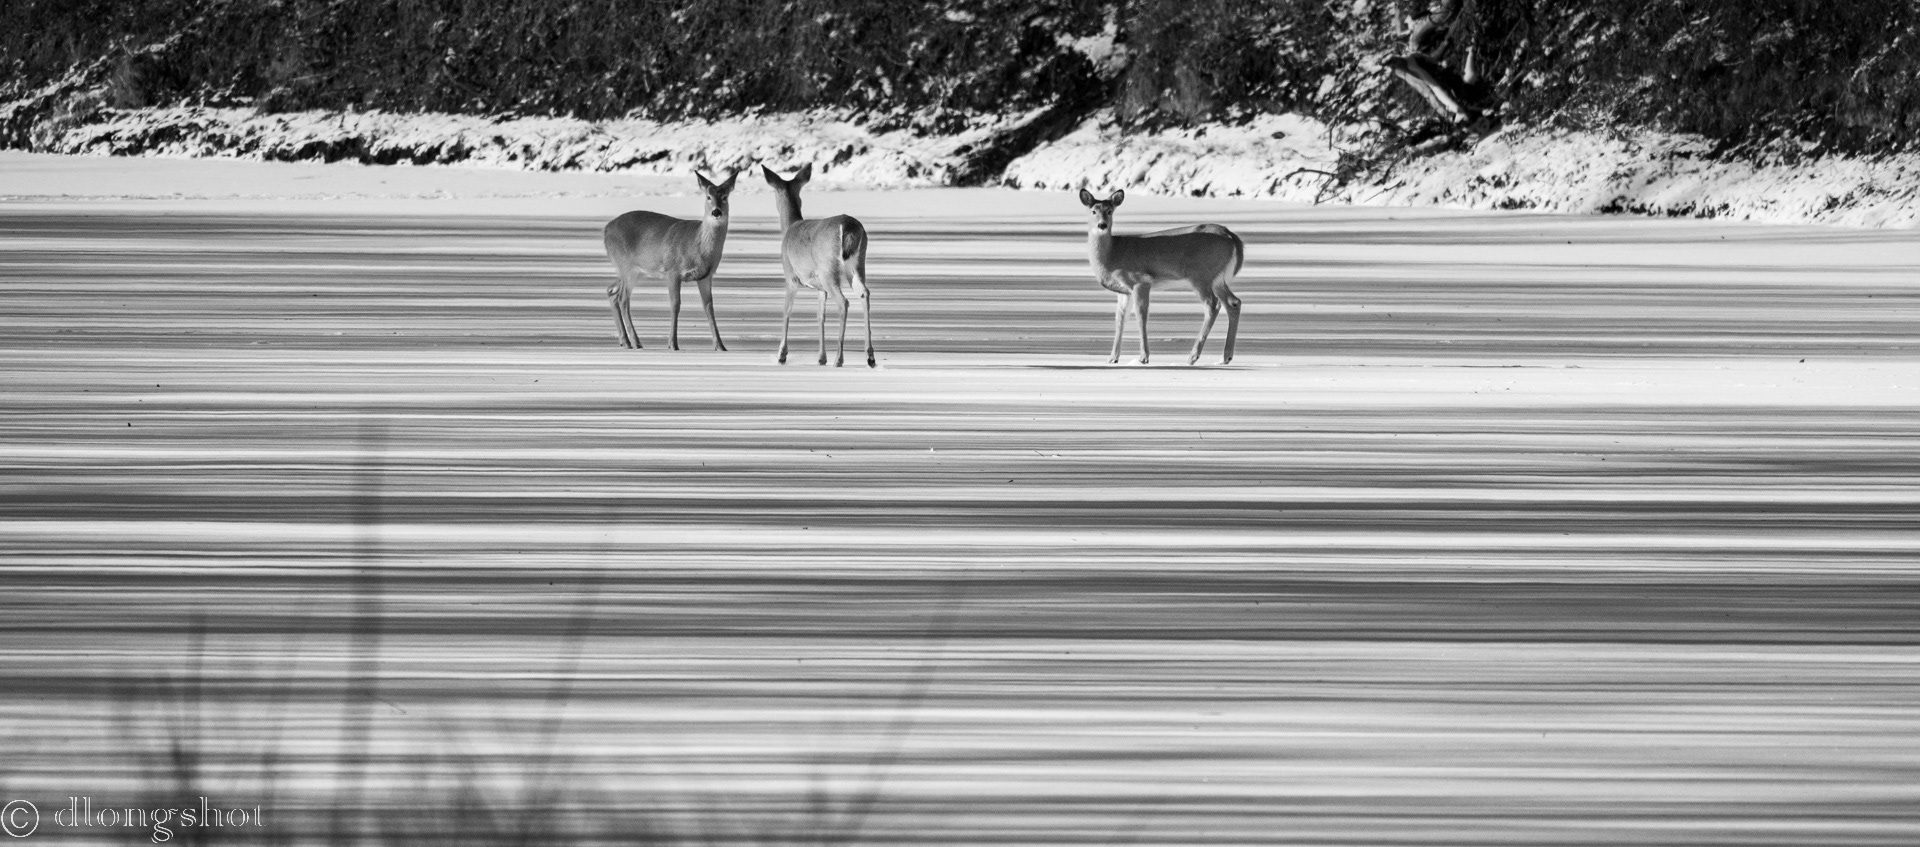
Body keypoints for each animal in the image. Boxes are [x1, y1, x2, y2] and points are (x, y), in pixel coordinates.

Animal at [600, 171, 738, 350]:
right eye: (708, 197)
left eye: (725, 197)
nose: (716, 212)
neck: (698, 247)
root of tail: (606, 229)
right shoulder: (672, 270)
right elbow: (675, 305)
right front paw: (672, 344)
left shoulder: (706, 276)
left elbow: (709, 307)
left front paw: (720, 346)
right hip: (627, 267)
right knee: (623, 299)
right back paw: (636, 342)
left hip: (634, 271)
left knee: (611, 291)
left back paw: (625, 341)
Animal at [762, 164, 874, 368]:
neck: (790, 226)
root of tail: (848, 227)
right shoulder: (820, 288)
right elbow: (820, 315)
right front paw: (821, 358)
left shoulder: (790, 277)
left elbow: (786, 310)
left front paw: (781, 354)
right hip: (857, 263)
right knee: (864, 293)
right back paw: (870, 356)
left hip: (828, 268)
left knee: (844, 302)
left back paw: (839, 359)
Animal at [1079, 188, 1244, 366]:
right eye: (1093, 211)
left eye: (1110, 211)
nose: (1102, 225)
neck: (1112, 254)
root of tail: (1231, 236)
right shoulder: (1124, 291)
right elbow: (1120, 319)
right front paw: (1112, 358)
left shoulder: (1140, 280)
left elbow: (1141, 316)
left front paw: (1143, 357)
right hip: (1218, 279)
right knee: (1234, 303)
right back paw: (1225, 357)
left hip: (1201, 275)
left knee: (1212, 305)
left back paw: (1192, 357)